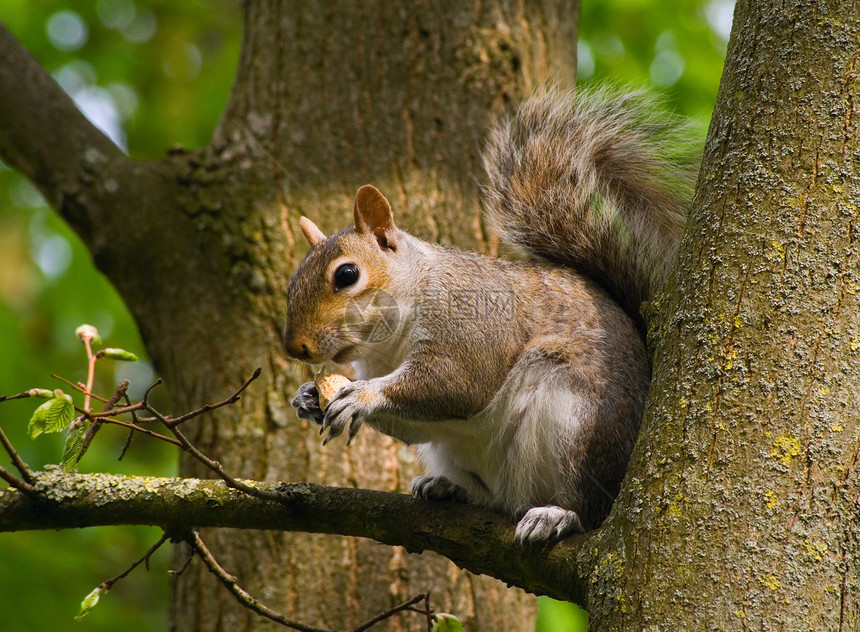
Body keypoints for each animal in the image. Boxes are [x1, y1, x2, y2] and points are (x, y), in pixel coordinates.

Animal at [286, 87, 696, 544]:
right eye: (292, 282)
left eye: (347, 275)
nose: (296, 347)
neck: (390, 342)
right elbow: (416, 423)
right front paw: (308, 397)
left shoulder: (474, 327)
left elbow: (455, 383)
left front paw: (362, 395)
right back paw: (447, 488)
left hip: (579, 428)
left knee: (589, 506)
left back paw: (558, 515)